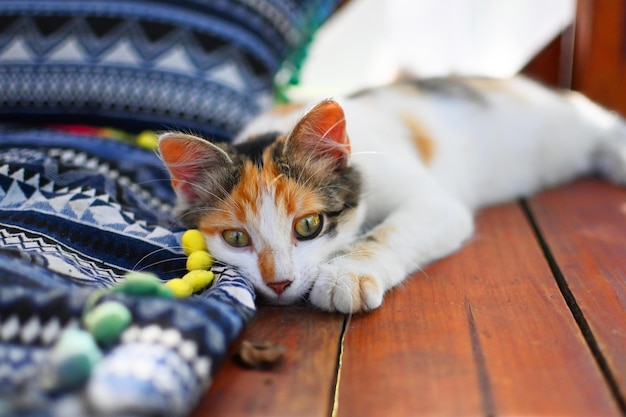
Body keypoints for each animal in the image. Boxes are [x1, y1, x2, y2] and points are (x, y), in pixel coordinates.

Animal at [157, 77, 624, 312]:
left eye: (309, 226)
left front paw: (347, 275)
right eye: (236, 238)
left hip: (569, 121)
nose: (279, 283)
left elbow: (391, 229)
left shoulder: (435, 202)